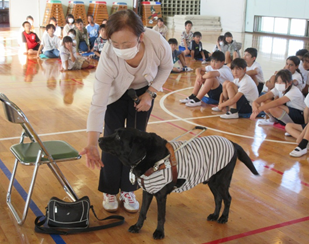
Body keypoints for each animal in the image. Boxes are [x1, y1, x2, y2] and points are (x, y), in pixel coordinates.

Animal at [98, 129, 258, 239]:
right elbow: (142, 212)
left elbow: (160, 216)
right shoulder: (148, 190)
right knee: (218, 199)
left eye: (118, 137)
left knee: (228, 199)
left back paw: (224, 218)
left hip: (222, 182)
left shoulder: (161, 195)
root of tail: (232, 143)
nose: (99, 139)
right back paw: (214, 215)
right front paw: (137, 227)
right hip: (212, 182)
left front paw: (159, 232)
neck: (149, 157)